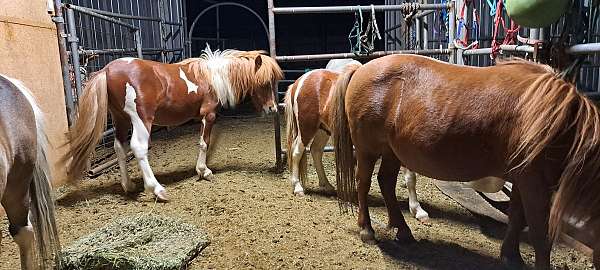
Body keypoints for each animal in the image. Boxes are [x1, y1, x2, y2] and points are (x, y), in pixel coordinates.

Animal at [62, 46, 282, 201]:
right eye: (264, 82)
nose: (272, 109)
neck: (212, 78)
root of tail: (107, 70)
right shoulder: (209, 115)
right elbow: (204, 143)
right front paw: (204, 171)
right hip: (141, 119)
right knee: (138, 147)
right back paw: (157, 189)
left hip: (121, 119)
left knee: (119, 148)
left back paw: (128, 186)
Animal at [330, 53, 600, 268]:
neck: (563, 125)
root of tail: (360, 70)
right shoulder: (535, 183)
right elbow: (540, 235)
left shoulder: (522, 180)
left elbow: (516, 218)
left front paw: (511, 256)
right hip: (367, 150)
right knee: (364, 184)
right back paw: (367, 230)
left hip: (391, 153)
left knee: (385, 183)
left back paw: (403, 231)